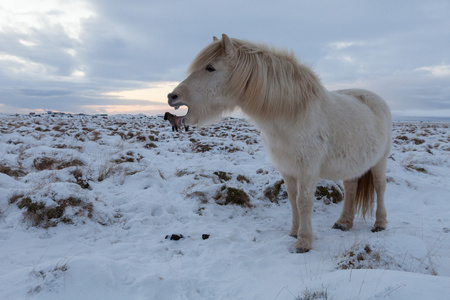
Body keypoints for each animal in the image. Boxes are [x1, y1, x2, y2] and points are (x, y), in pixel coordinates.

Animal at [168, 33, 390, 253]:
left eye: (210, 68)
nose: (172, 96)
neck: (292, 114)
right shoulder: (287, 169)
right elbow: (292, 199)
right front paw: (294, 232)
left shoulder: (308, 171)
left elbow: (304, 201)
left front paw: (304, 242)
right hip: (350, 165)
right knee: (351, 188)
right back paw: (343, 222)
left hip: (380, 162)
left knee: (380, 187)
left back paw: (379, 223)